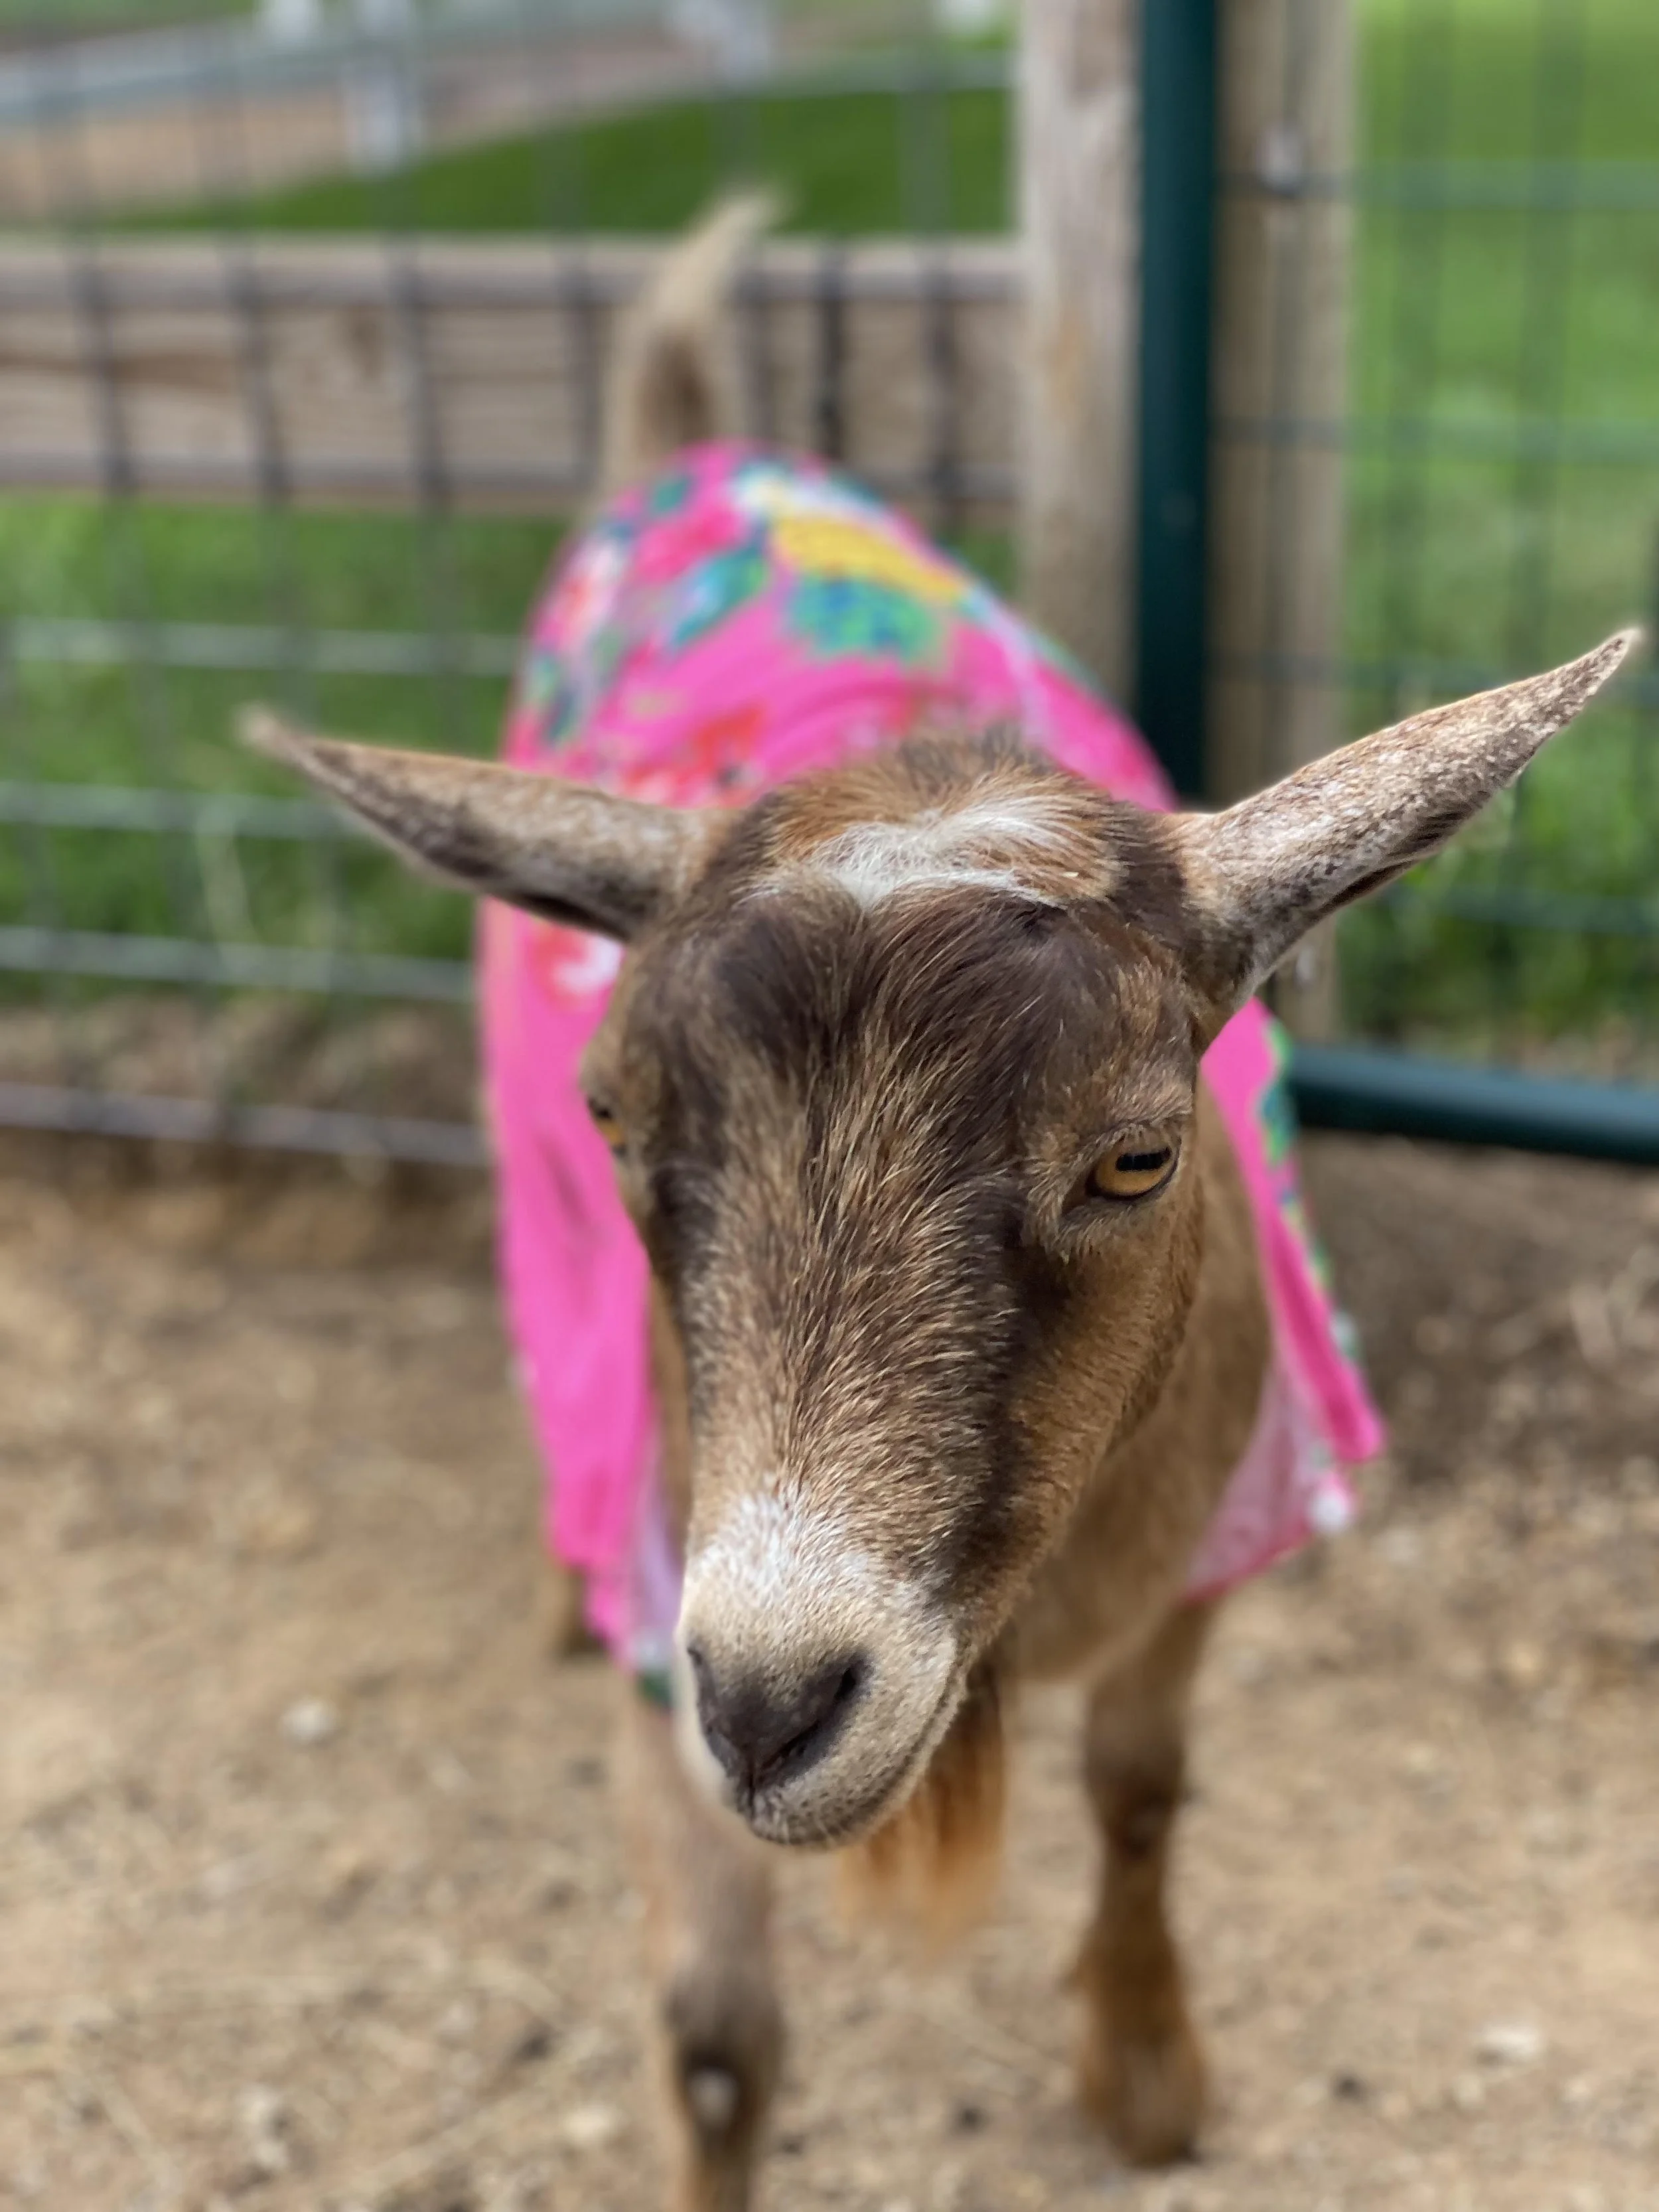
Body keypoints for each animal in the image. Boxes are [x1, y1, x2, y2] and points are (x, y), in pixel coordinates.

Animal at [242, 203, 1634, 2211]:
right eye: (611, 1113)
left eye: (1136, 1151)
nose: (769, 1704)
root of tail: (698, 449)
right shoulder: (668, 1617)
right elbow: (716, 2035)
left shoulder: (1209, 1539)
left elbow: (1139, 1790)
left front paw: (1146, 2071)